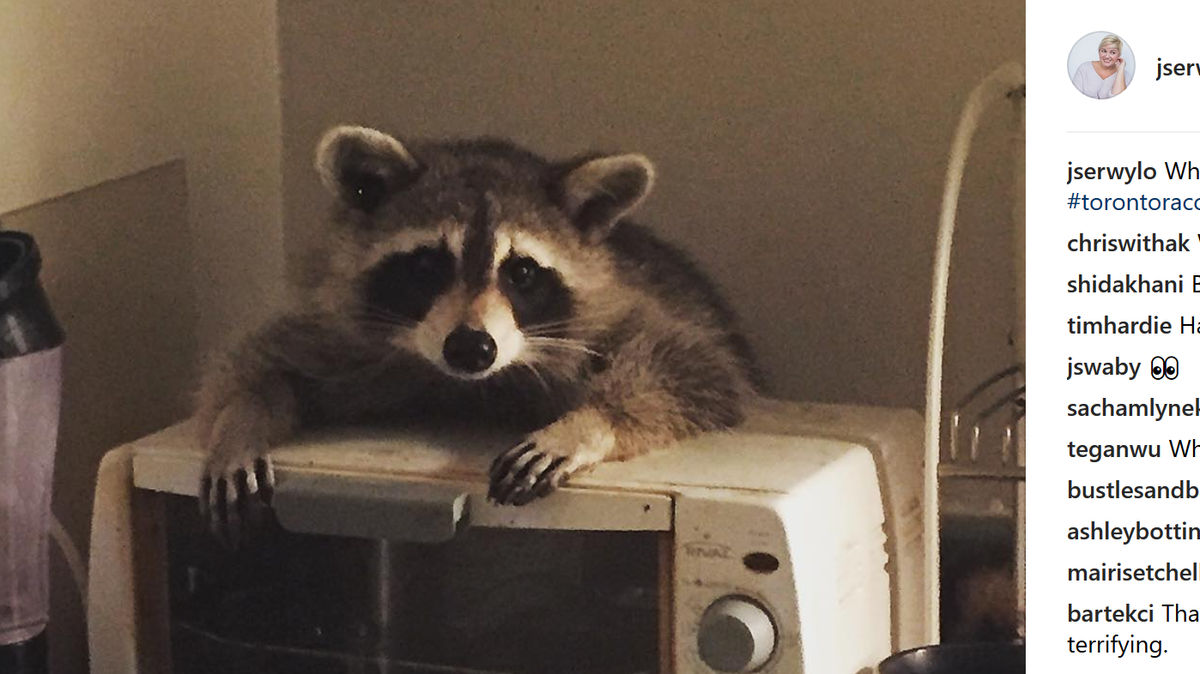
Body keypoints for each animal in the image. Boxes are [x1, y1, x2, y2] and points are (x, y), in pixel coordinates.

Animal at [196, 125, 759, 536]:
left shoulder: (625, 314)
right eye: (427, 266)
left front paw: (586, 423)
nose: (472, 348)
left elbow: (694, 371)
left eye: (523, 273)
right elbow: (260, 365)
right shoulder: (348, 337)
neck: (466, 383)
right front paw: (240, 421)